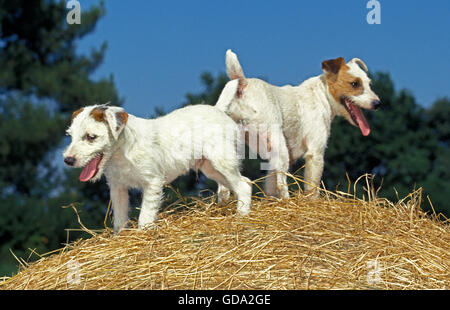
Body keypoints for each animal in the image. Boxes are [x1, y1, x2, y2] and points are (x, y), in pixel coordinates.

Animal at [62, 104, 253, 232]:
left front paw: (143, 233)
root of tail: (219, 111)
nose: (68, 160)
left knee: (243, 186)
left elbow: (145, 216)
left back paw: (241, 215)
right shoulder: (118, 188)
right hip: (211, 168)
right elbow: (120, 219)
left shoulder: (152, 182)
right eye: (70, 136)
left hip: (222, 161)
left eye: (91, 137)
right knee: (242, 182)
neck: (121, 153)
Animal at [215, 49, 380, 197]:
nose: (377, 103)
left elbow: (271, 186)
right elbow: (312, 189)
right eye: (354, 84)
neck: (322, 95)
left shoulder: (272, 161)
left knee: (223, 188)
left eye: (370, 84)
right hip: (280, 147)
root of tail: (242, 85)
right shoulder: (315, 153)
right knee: (282, 185)